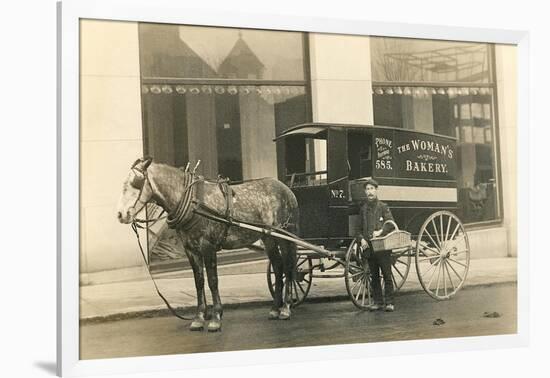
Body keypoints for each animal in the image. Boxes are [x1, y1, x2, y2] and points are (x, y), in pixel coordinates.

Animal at [114, 158, 300, 332]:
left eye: (136, 183)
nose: (121, 215)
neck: (193, 202)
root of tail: (286, 189)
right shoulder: (190, 249)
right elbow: (199, 281)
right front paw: (199, 317)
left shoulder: (208, 246)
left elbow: (212, 281)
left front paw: (216, 317)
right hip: (268, 238)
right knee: (278, 267)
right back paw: (275, 308)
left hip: (285, 235)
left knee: (289, 266)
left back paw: (286, 308)